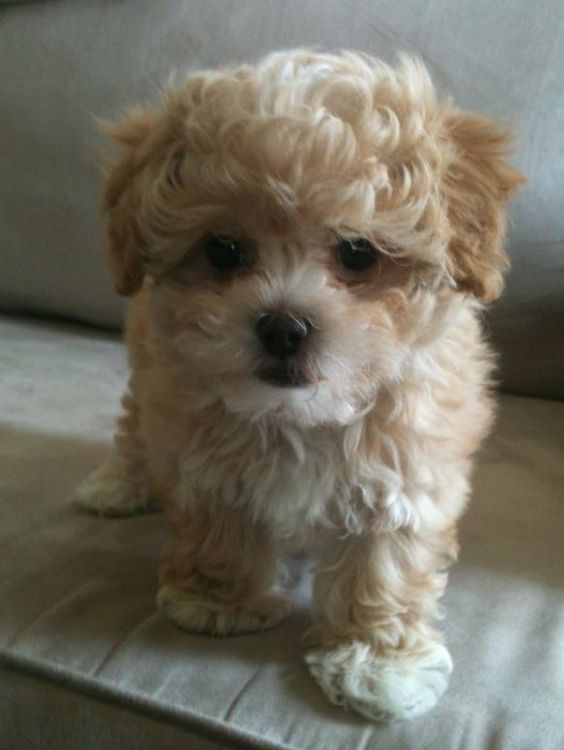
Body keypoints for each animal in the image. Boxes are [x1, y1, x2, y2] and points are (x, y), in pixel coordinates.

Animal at [76, 48, 524, 724]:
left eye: (359, 253)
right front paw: (220, 602)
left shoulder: (405, 463)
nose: (283, 327)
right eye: (223, 250)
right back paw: (118, 483)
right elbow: (221, 523)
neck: (300, 415)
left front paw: (380, 663)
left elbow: (385, 560)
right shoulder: (199, 441)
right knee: (133, 427)